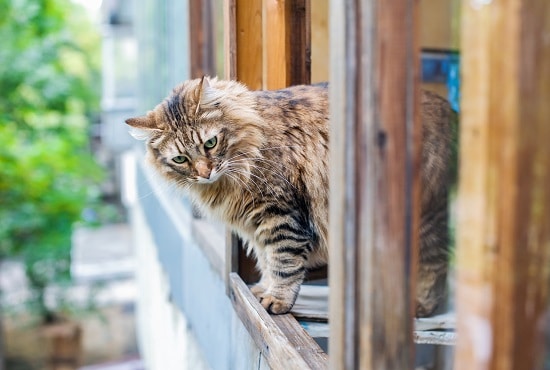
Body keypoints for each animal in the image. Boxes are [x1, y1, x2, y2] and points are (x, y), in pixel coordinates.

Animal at [126, 76, 458, 316]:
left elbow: (283, 264)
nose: (205, 172)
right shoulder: (255, 225)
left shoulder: (280, 216)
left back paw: (422, 306)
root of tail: (451, 110)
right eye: (181, 159)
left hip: (426, 217)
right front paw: (262, 290)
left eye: (210, 143)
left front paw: (277, 301)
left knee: (435, 263)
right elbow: (266, 262)